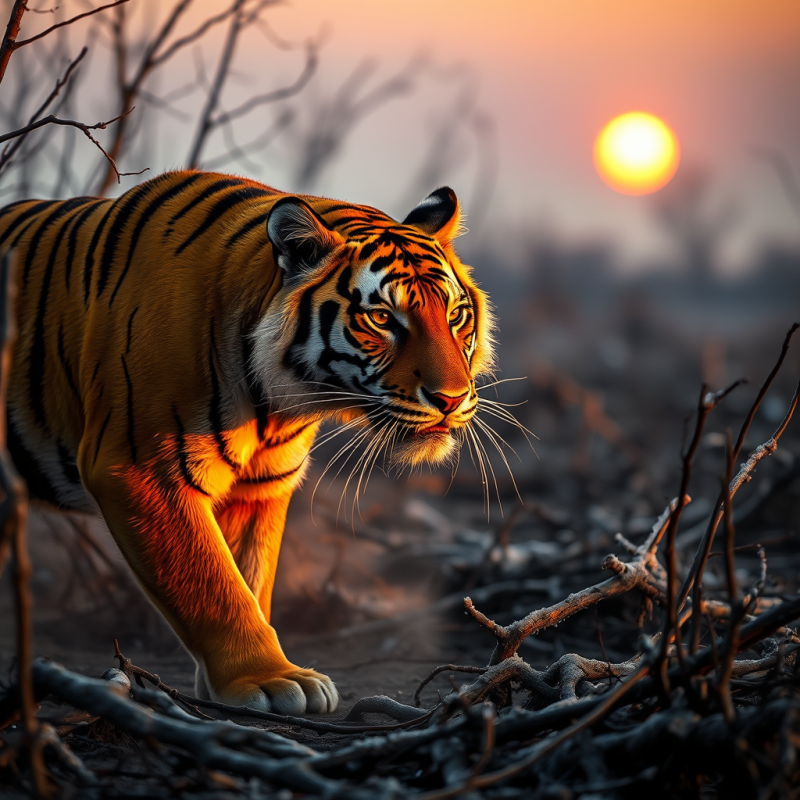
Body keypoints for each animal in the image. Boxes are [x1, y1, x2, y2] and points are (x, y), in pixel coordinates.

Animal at [0, 170, 494, 714]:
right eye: (382, 319)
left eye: (455, 315)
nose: (451, 398)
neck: (276, 403)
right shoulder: (140, 470)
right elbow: (213, 584)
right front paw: (269, 680)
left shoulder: (259, 486)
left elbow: (249, 578)